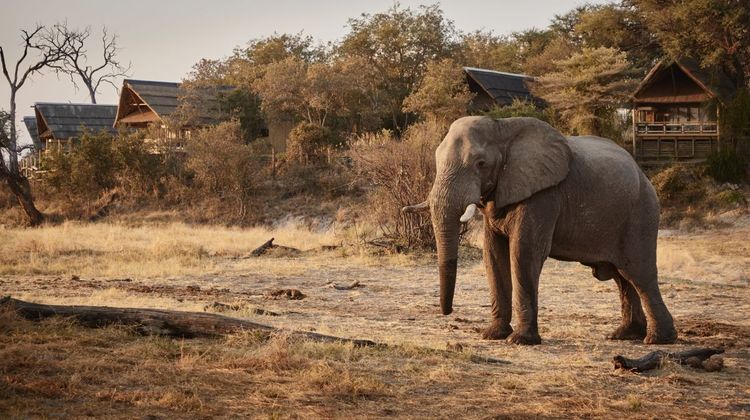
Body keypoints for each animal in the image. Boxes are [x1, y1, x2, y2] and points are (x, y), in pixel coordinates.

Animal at [403, 116, 677, 345]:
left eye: (480, 163)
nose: (447, 312)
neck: (502, 127)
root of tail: (644, 175)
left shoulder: (544, 195)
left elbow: (524, 253)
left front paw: (519, 341)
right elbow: (493, 256)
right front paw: (492, 335)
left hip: (640, 214)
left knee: (639, 274)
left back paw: (657, 340)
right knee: (622, 277)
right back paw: (624, 335)